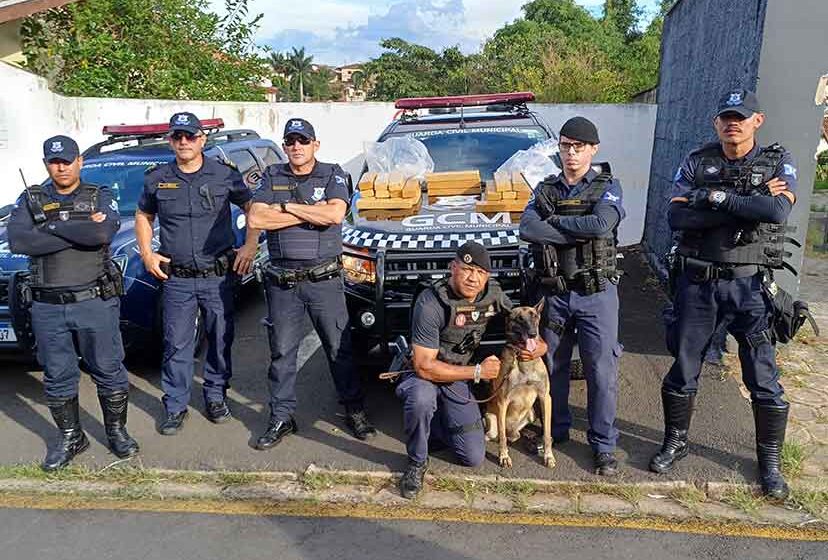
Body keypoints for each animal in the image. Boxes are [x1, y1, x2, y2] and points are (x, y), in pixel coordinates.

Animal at [482, 302, 552, 468]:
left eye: (534, 316)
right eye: (519, 319)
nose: (533, 334)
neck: (522, 358)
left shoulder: (545, 398)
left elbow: (547, 433)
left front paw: (549, 456)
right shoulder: (502, 402)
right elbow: (502, 438)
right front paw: (503, 456)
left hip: (532, 413)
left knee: (515, 434)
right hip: (491, 418)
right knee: (498, 434)